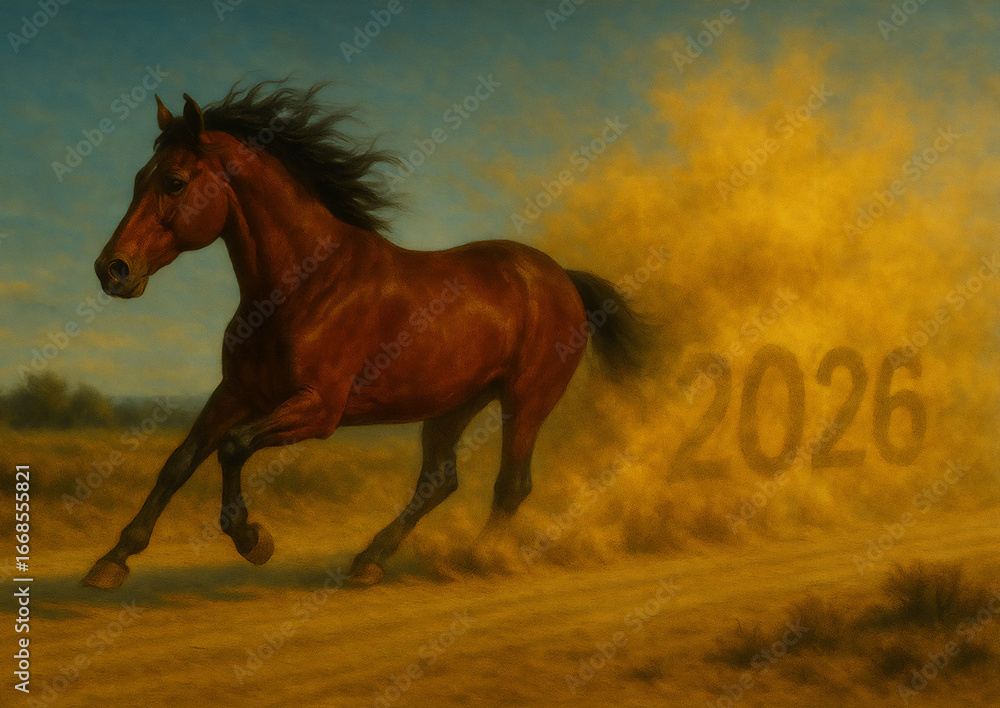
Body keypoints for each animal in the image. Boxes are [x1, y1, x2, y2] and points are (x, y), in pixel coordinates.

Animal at [83, 81, 649, 589]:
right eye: (139, 178)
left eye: (175, 182)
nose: (112, 270)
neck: (304, 284)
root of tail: (560, 277)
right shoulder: (237, 393)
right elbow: (179, 462)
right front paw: (112, 561)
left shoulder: (318, 408)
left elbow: (232, 447)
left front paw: (253, 539)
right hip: (452, 406)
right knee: (440, 480)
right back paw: (370, 561)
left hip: (526, 401)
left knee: (511, 485)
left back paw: (476, 558)